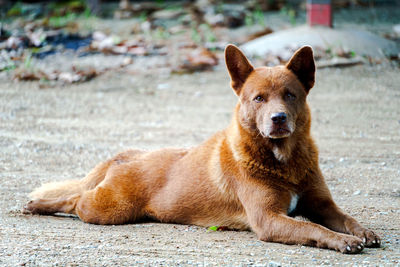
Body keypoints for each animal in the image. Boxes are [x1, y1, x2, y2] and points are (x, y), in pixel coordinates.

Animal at [23, 45, 380, 254]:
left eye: (290, 95)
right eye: (259, 98)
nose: (278, 119)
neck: (283, 160)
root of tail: (131, 154)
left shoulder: (322, 204)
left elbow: (344, 217)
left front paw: (362, 232)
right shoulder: (268, 218)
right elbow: (311, 227)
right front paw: (343, 241)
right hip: (109, 208)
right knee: (74, 200)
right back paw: (37, 205)